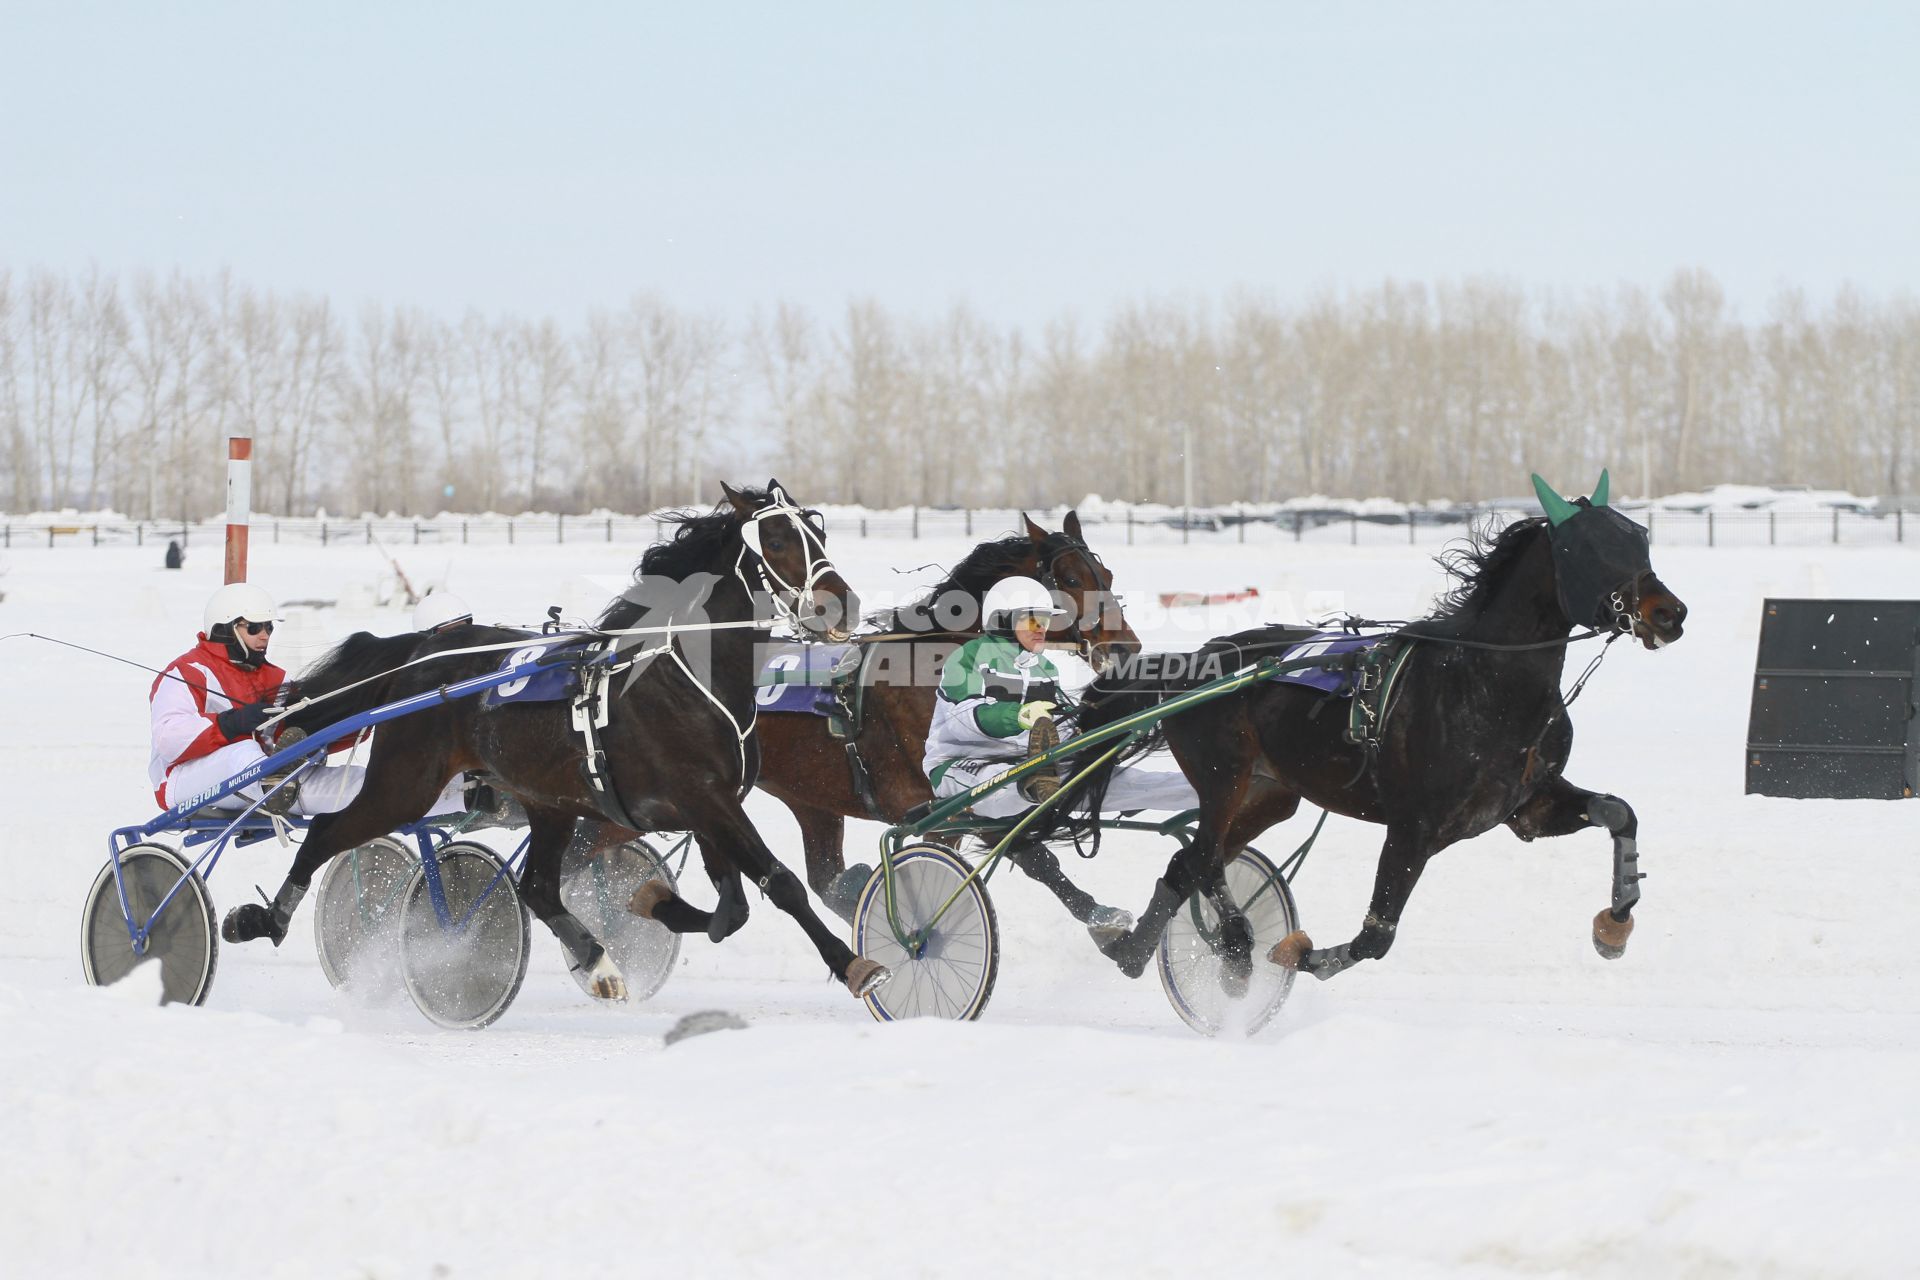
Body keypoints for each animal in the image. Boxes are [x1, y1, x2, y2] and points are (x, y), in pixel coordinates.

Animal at [224, 479, 890, 997]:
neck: (681, 675)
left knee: (539, 888)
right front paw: (854, 964)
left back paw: (598, 964)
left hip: (547, 802)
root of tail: (420, 656)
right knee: (326, 835)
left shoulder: (708, 807)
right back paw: (262, 920)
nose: (842, 604)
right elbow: (780, 883)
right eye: (775, 540)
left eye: (817, 534)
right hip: (405, 785)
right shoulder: (706, 799)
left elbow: (733, 907)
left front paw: (652, 903)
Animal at [748, 510, 1136, 921]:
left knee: (827, 879)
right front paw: (1107, 923)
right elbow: (1030, 856)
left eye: (1107, 574)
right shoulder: (944, 802)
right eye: (1072, 579)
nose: (1125, 648)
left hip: (810, 797)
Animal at [1075, 475, 1689, 997]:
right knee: (1203, 859)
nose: (1671, 613)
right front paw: (1299, 953)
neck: (1484, 680)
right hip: (1223, 776)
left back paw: (1130, 952)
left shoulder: (1524, 808)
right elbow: (1376, 935)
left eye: (1638, 540)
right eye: (1587, 549)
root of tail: (1197, 664)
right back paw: (1236, 946)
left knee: (1187, 865)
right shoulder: (1413, 827)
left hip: (1270, 793)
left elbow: (1619, 812)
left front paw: (1615, 923)